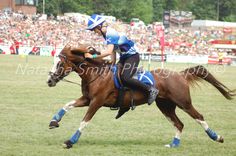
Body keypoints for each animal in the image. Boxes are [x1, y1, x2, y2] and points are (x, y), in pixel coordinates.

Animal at [47, 44, 235, 149]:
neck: (96, 74)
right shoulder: (87, 99)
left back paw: (216, 137)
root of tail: (180, 74)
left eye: (59, 63)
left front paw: (70, 141)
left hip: (183, 102)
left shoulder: (97, 102)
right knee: (179, 124)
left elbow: (84, 121)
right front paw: (54, 121)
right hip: (165, 106)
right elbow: (67, 105)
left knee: (199, 116)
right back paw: (174, 144)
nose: (49, 80)